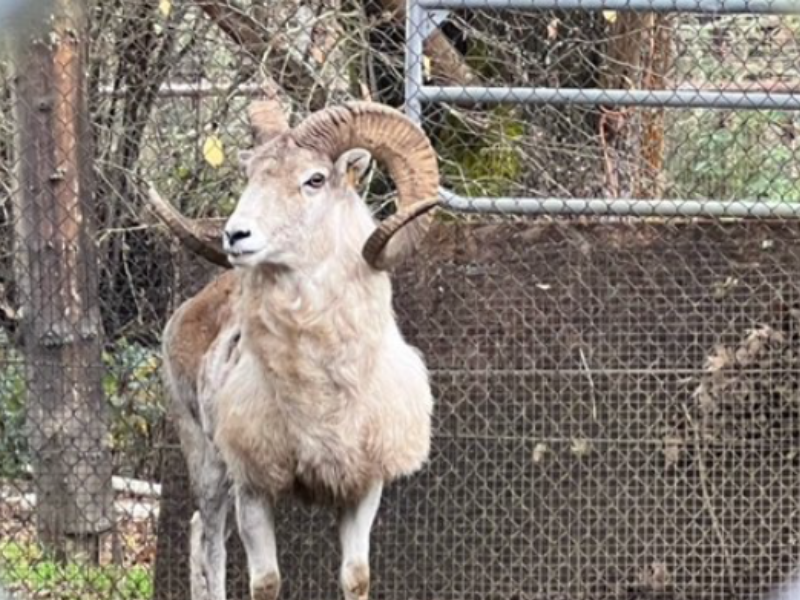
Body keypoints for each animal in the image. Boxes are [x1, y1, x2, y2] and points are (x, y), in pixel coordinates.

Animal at [146, 99, 440, 600]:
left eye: (315, 179)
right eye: (251, 175)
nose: (235, 236)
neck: (321, 396)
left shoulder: (362, 489)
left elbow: (355, 576)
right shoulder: (253, 488)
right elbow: (266, 582)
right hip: (208, 465)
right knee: (208, 543)